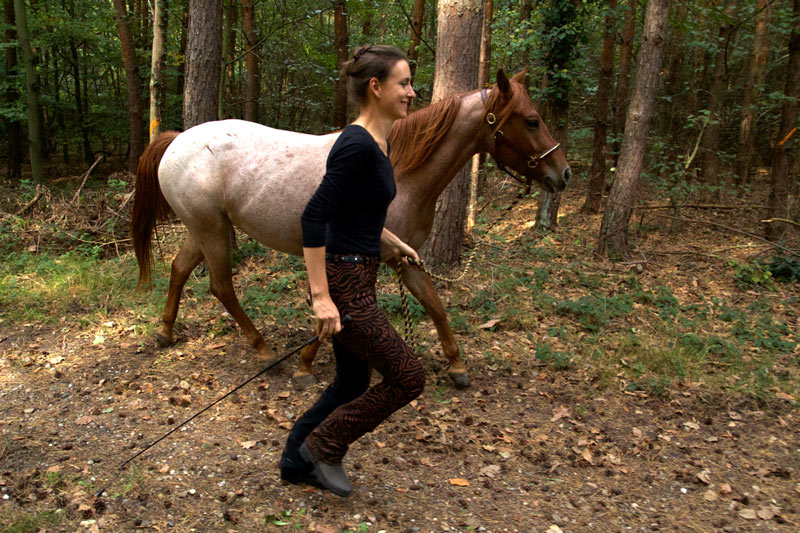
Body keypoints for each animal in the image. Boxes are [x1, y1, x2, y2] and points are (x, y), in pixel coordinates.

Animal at [131, 69, 568, 386]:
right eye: (532, 121)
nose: (562, 173)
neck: (401, 170)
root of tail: (176, 140)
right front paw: (306, 364)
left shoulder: (406, 257)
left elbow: (434, 304)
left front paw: (457, 365)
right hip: (213, 232)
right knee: (220, 286)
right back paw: (263, 349)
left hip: (203, 229)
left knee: (179, 269)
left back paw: (166, 332)